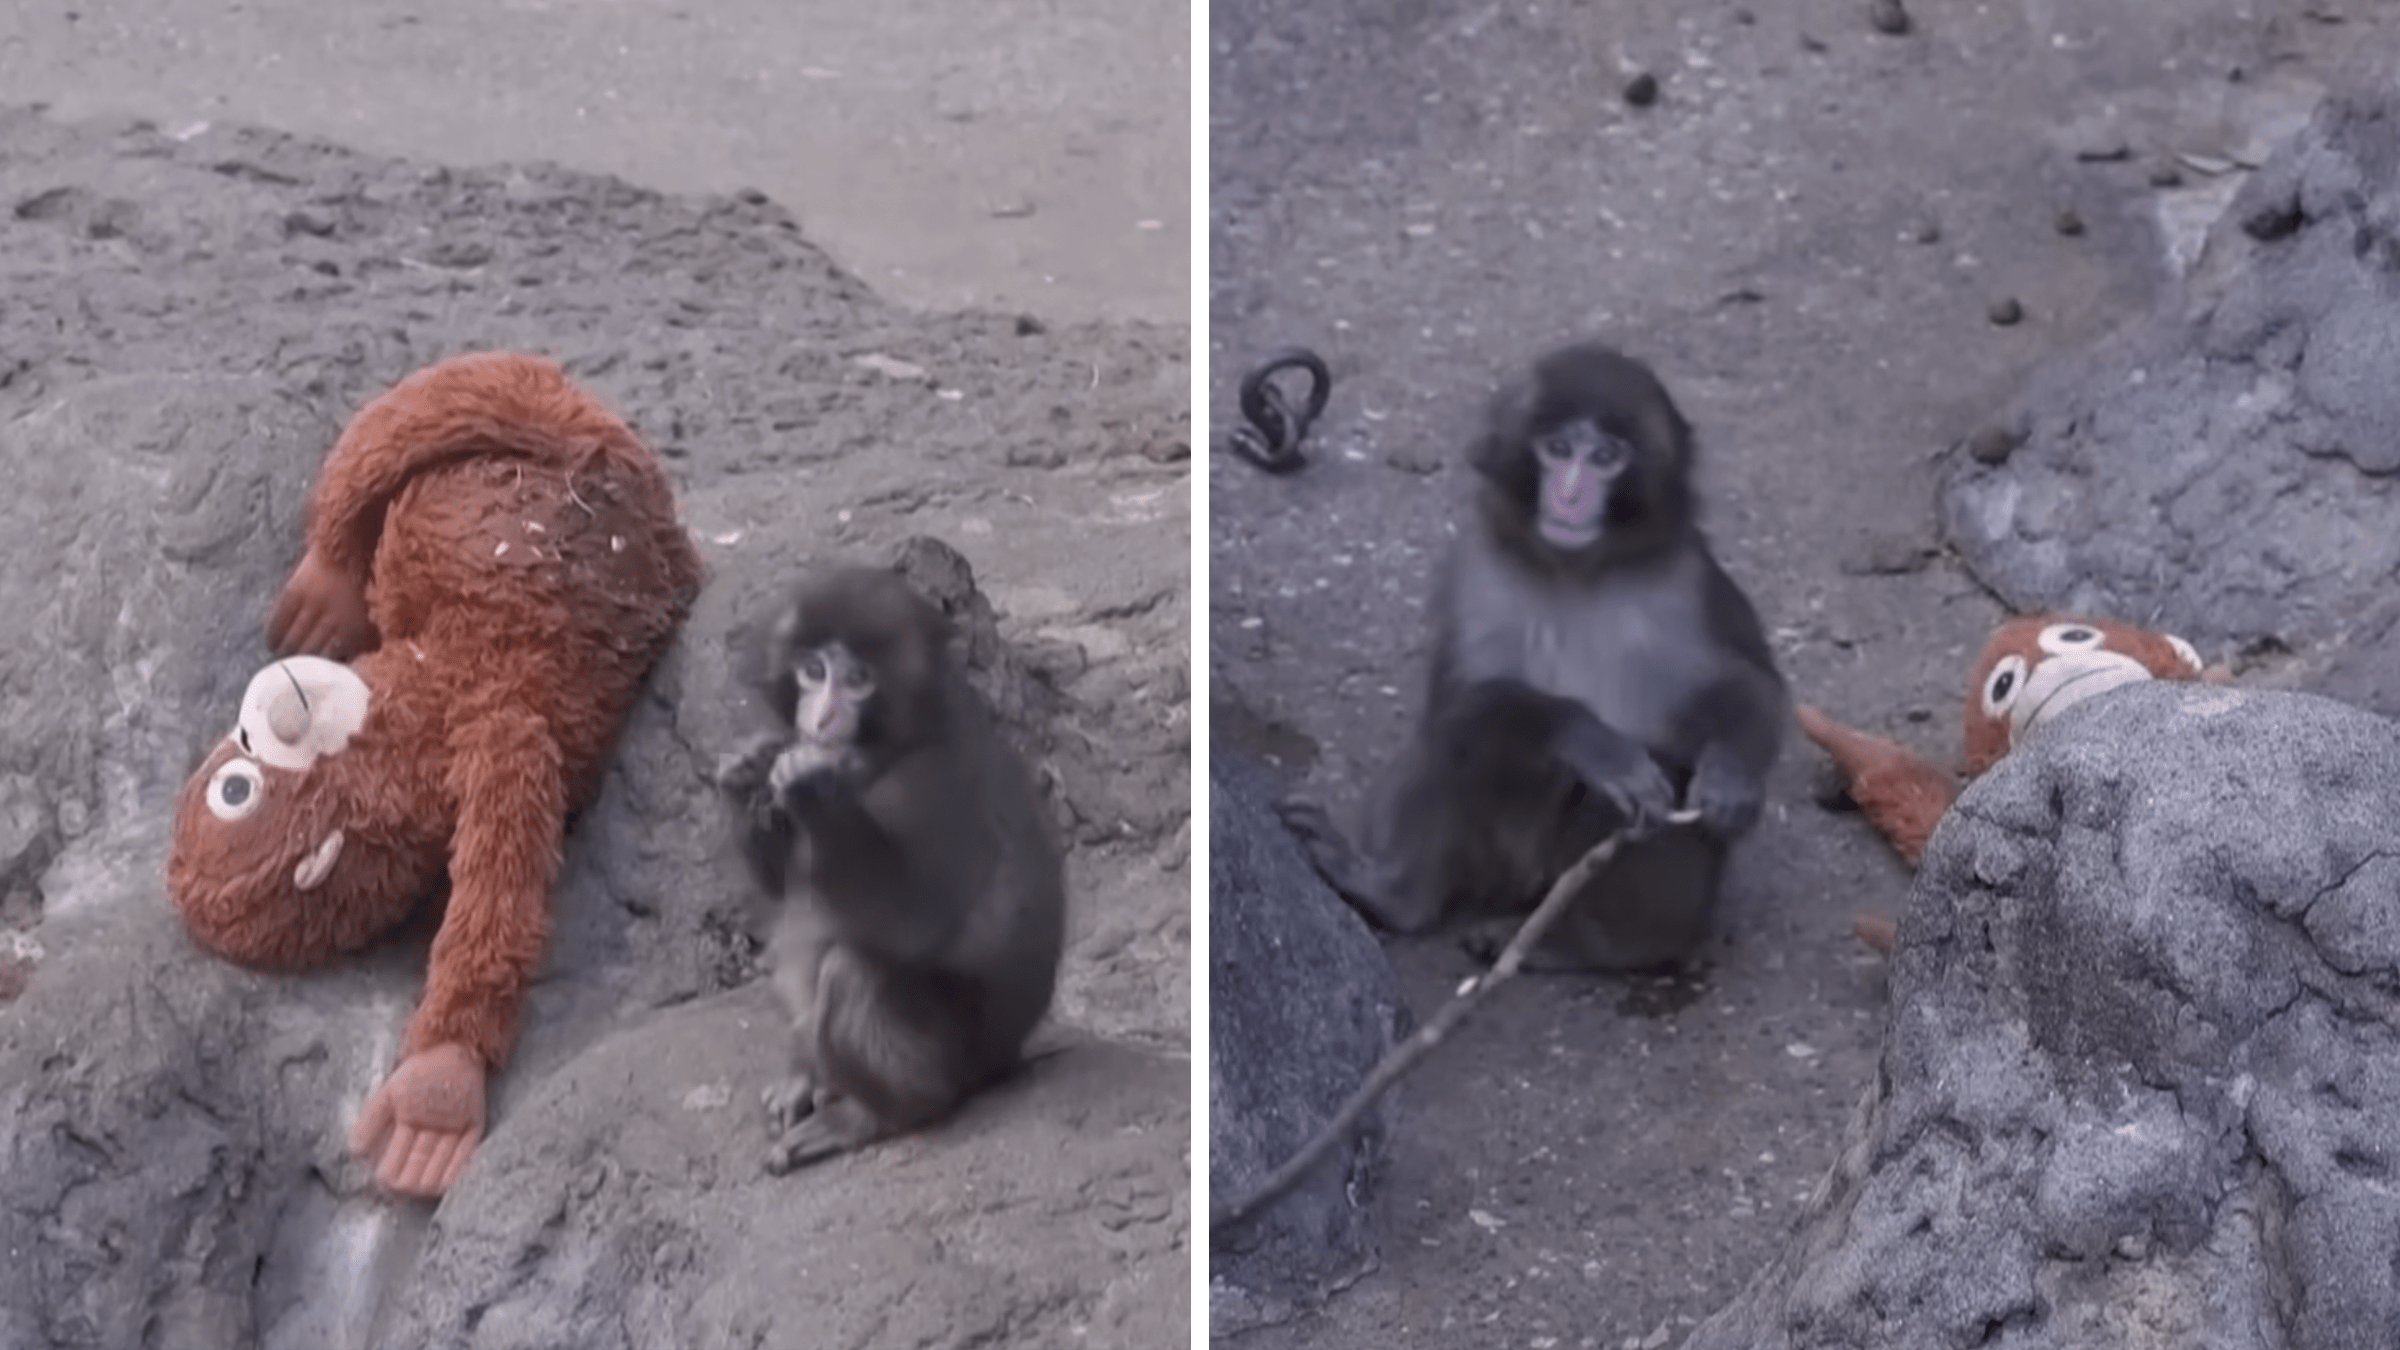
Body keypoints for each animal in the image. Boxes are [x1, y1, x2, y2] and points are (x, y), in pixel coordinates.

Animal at [717, 565, 1066, 1173]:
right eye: (814, 671)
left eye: (858, 680)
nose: (823, 717)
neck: (885, 747)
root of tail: (1005, 1059)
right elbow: (782, 888)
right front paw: (746, 773)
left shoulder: (933, 786)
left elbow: (913, 926)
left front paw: (814, 784)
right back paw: (808, 1075)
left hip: (952, 1065)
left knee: (852, 970)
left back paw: (873, 1116)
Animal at [1281, 341, 1789, 972]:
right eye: (1558, 449)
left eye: (1605, 457)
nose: (1569, 494)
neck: (1577, 572)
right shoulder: (1475, 569)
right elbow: (1458, 703)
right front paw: (1591, 741)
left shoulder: (1691, 583)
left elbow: (1749, 684)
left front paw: (1729, 772)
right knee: (1461, 741)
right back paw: (1394, 895)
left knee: (1653, 782)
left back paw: (1584, 945)